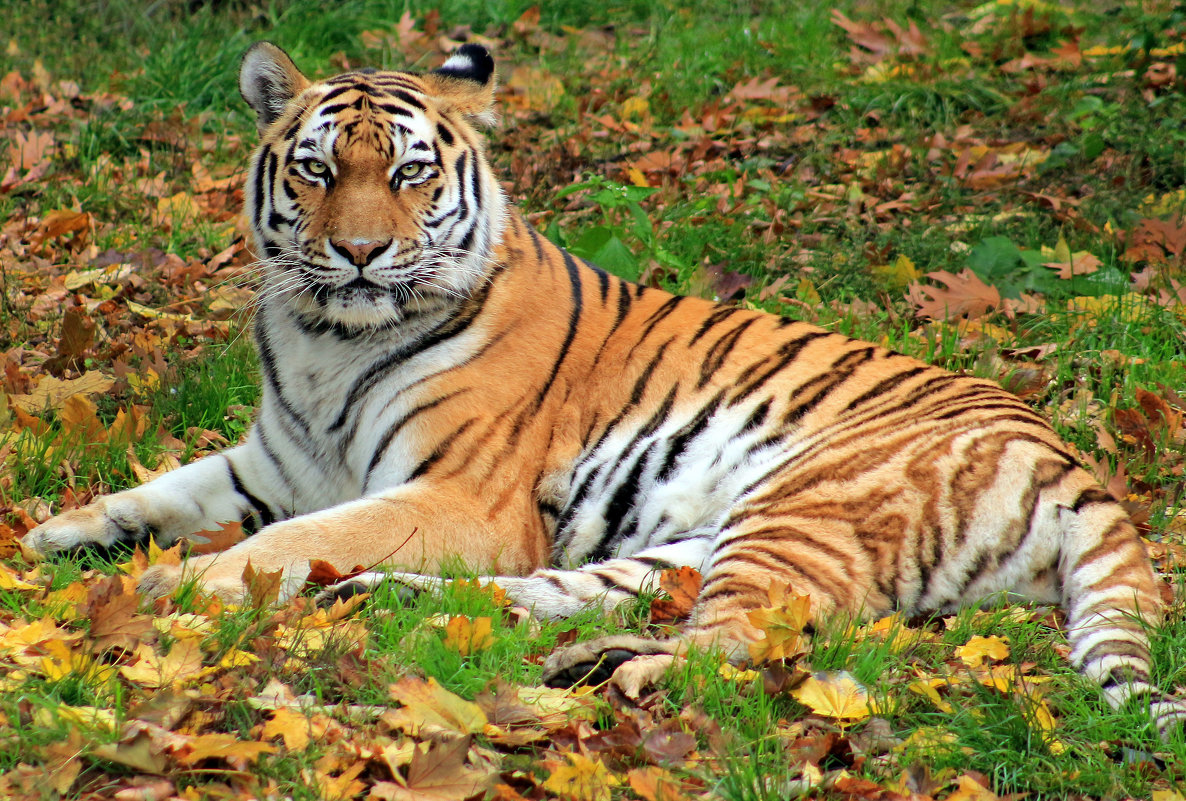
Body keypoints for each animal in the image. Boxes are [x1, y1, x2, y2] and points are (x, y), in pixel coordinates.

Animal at [23, 42, 1186, 730]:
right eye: (314, 170)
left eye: (406, 173)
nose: (356, 252)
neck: (324, 337)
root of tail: (1082, 469)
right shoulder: (278, 459)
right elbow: (168, 489)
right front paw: (61, 535)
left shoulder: (459, 495)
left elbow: (295, 538)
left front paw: (181, 587)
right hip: (690, 543)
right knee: (566, 600)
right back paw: (438, 618)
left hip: (797, 503)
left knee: (737, 649)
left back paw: (618, 677)